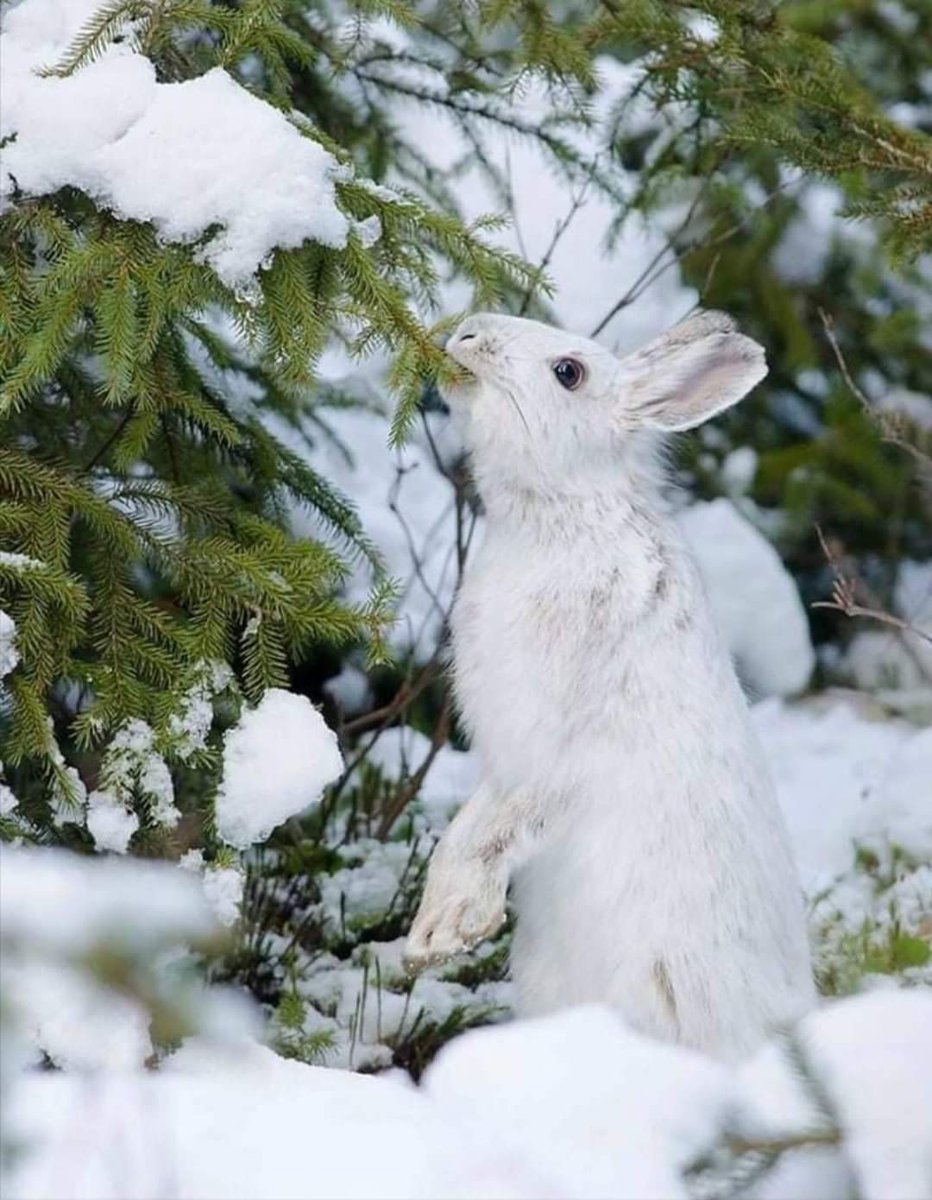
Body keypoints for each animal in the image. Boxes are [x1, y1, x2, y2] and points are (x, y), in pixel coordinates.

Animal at [404, 310, 816, 1061]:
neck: (564, 514)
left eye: (569, 372)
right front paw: (433, 933)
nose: (467, 333)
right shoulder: (505, 758)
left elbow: (490, 833)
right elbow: (469, 826)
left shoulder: (552, 750)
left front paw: (447, 933)